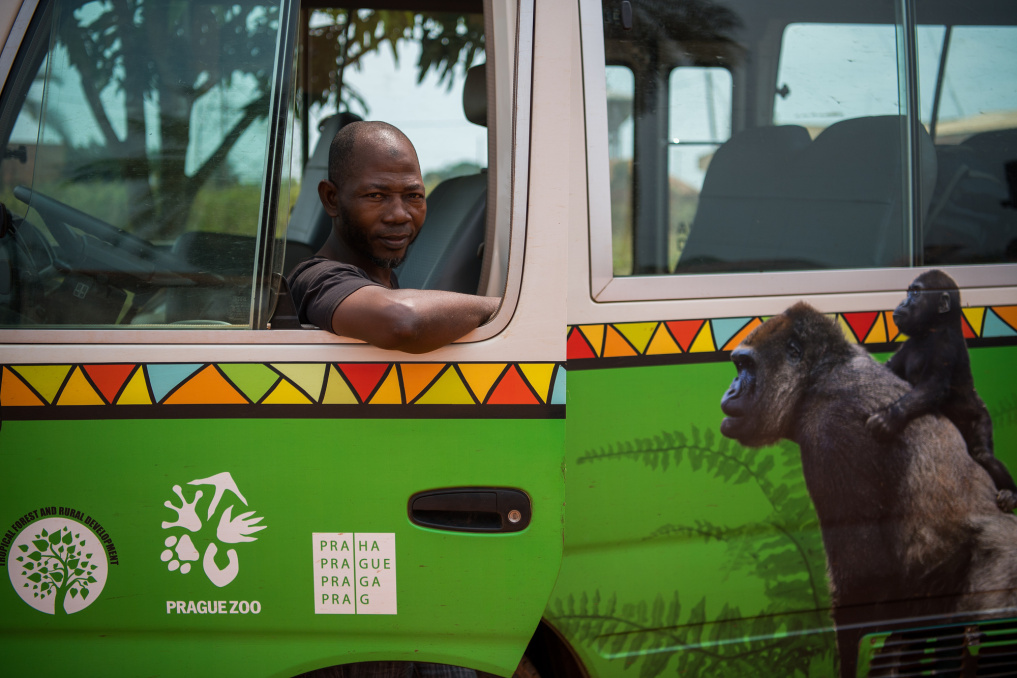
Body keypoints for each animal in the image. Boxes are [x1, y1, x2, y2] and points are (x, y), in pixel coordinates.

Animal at [866, 268, 1016, 512]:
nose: (903, 302)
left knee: (983, 455)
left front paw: (890, 417)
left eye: (916, 293)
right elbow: (886, 368)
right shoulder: (908, 344)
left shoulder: (945, 343)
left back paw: (1011, 492)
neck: (933, 327)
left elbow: (933, 385)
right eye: (909, 292)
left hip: (982, 417)